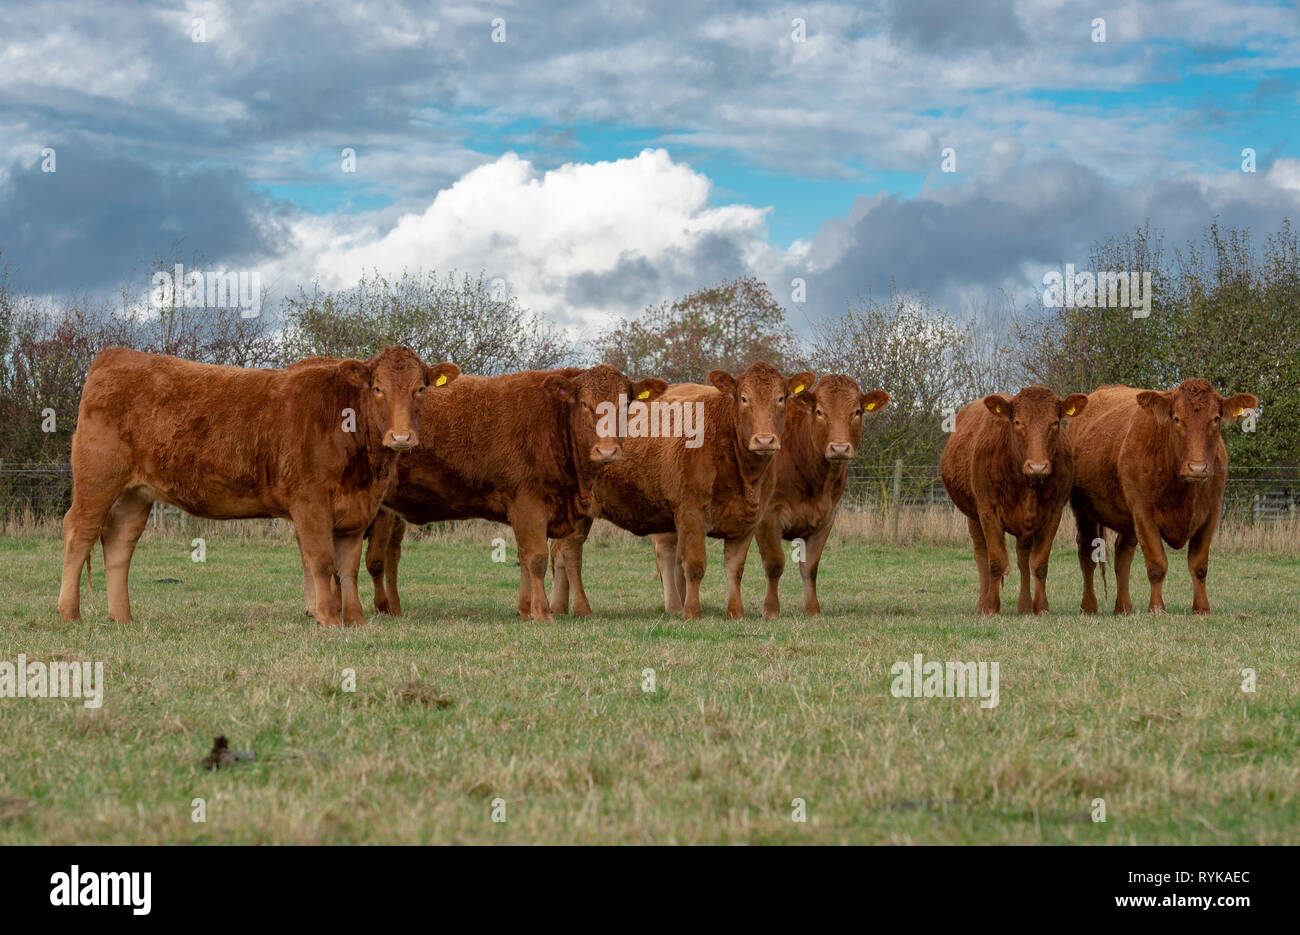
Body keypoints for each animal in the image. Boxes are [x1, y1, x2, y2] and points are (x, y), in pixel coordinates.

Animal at [58, 348, 460, 624]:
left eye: (420, 388)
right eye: (377, 388)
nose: (401, 437)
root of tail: (117, 355)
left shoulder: (358, 510)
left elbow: (347, 567)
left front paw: (356, 620)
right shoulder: (310, 501)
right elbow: (321, 560)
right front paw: (329, 618)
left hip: (135, 494)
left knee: (118, 543)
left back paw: (122, 617)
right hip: (97, 480)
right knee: (80, 532)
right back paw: (70, 613)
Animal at [361, 366, 665, 621]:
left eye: (625, 405)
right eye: (585, 404)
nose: (607, 451)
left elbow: (524, 559)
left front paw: (525, 610)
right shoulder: (529, 506)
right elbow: (536, 560)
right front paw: (542, 613)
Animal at [546, 361, 811, 618]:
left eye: (781, 398)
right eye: (744, 398)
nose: (764, 440)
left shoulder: (748, 520)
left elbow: (735, 568)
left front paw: (736, 612)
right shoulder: (690, 512)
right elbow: (694, 565)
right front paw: (692, 611)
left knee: (559, 554)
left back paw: (558, 608)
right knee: (571, 554)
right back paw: (582, 609)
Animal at [946, 384, 1086, 613]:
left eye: (1055, 422)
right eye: (1018, 422)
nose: (1038, 466)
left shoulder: (1054, 512)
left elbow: (1039, 564)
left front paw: (1041, 608)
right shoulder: (987, 510)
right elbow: (995, 561)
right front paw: (990, 607)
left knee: (1023, 558)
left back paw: (1025, 605)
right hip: (973, 516)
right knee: (981, 554)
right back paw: (982, 602)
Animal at [1066, 379, 1258, 613]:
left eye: (1216, 418)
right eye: (1176, 418)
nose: (1197, 468)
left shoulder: (1212, 513)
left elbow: (1199, 565)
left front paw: (1202, 608)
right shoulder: (1144, 513)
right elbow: (1157, 564)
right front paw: (1157, 608)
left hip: (1128, 519)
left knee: (1123, 554)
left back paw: (1123, 608)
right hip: (1083, 509)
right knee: (1087, 552)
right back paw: (1089, 606)